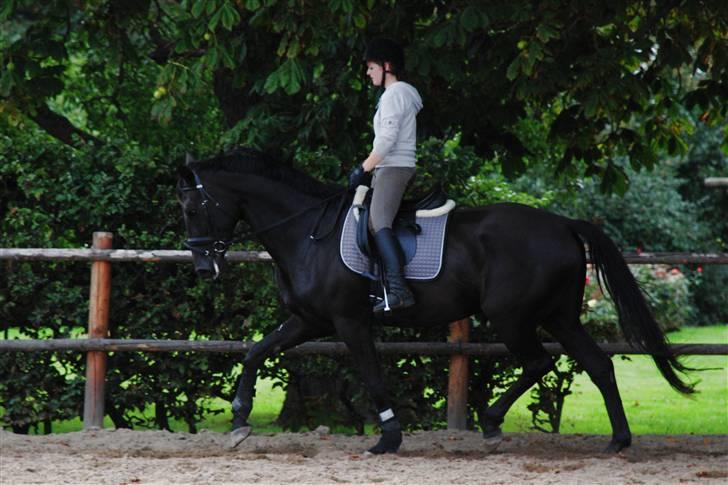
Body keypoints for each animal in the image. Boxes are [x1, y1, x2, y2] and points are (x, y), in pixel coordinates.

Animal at [176, 148, 692, 454]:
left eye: (193, 207)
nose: (203, 268)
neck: (307, 234)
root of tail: (563, 223)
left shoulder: (349, 322)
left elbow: (372, 376)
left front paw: (388, 438)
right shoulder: (309, 322)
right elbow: (255, 351)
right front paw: (239, 421)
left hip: (512, 316)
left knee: (539, 363)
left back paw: (491, 423)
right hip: (560, 316)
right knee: (598, 364)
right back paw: (618, 440)